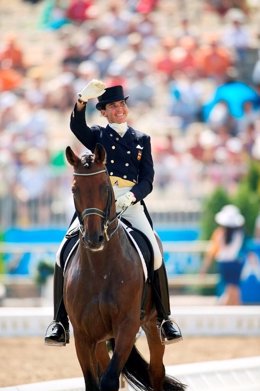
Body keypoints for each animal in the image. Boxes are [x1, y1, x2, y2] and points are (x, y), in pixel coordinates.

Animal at [63, 144, 185, 391]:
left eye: (104, 187)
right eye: (74, 190)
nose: (94, 239)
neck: (100, 269)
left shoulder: (127, 327)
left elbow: (109, 380)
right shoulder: (83, 335)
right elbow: (94, 382)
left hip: (152, 325)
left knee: (156, 371)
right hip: (101, 339)